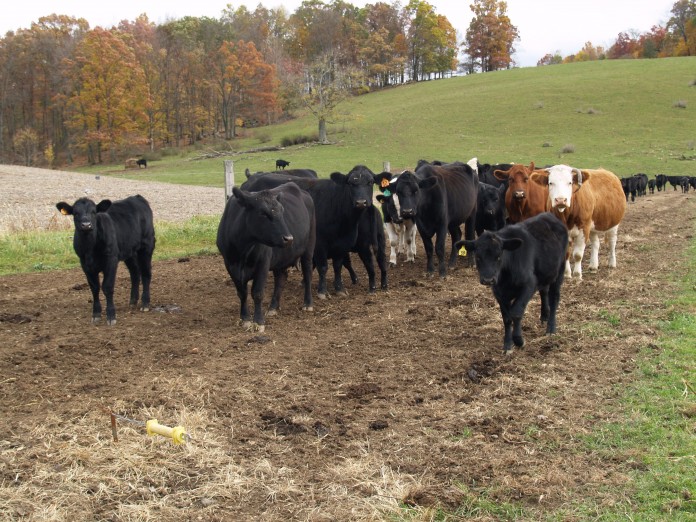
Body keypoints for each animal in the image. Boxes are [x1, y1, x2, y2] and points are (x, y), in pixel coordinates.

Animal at [55, 195, 156, 324]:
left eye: (94, 212)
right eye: (76, 213)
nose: (86, 225)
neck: (90, 248)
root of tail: (137, 197)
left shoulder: (111, 260)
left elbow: (107, 287)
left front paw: (111, 315)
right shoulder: (85, 264)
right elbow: (94, 288)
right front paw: (96, 314)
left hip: (147, 245)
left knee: (146, 273)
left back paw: (145, 303)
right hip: (129, 251)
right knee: (135, 273)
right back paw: (133, 301)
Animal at [216, 181, 316, 332]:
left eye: (282, 212)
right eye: (262, 213)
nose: (289, 238)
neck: (242, 250)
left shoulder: (262, 264)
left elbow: (257, 293)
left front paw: (258, 322)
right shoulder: (230, 265)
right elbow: (242, 293)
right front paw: (245, 319)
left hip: (308, 249)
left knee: (308, 274)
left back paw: (307, 304)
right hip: (281, 258)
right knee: (281, 278)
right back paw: (273, 307)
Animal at [456, 211, 572, 354]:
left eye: (499, 256)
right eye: (478, 257)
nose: (488, 279)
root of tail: (549, 215)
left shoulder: (528, 285)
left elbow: (516, 312)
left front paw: (518, 340)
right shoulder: (499, 293)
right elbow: (506, 318)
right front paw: (507, 345)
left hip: (560, 270)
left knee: (554, 297)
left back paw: (551, 328)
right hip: (545, 273)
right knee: (544, 291)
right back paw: (544, 315)